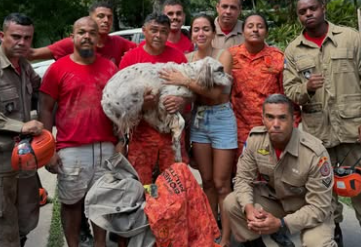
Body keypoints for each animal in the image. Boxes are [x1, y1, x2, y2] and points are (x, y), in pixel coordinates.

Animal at [101, 56, 231, 162]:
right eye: (220, 70)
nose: (232, 79)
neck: (188, 75)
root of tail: (104, 99)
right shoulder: (165, 98)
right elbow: (180, 121)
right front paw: (176, 143)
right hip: (142, 88)